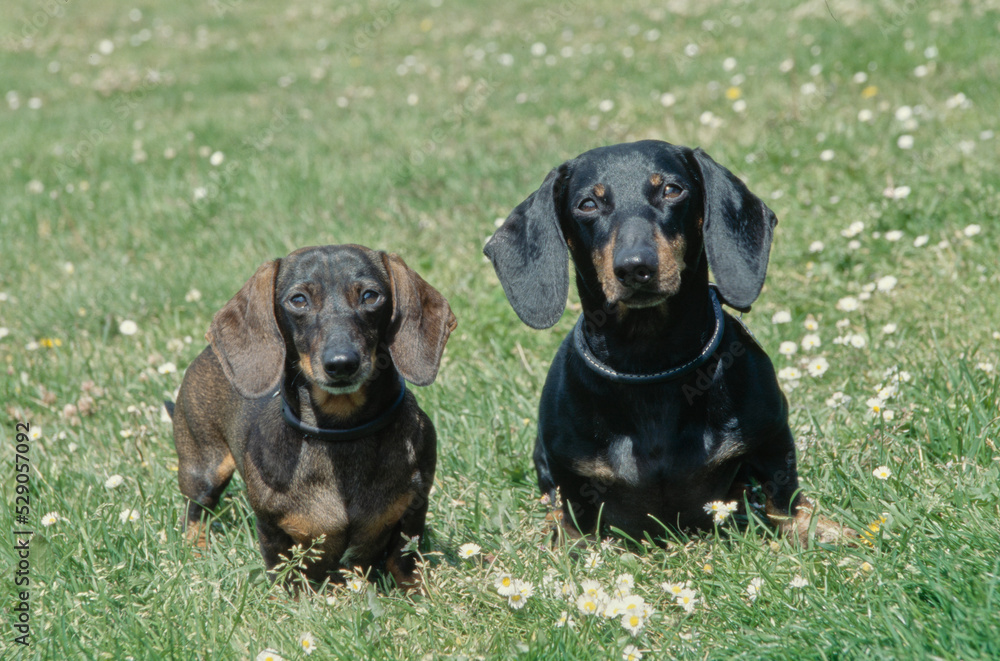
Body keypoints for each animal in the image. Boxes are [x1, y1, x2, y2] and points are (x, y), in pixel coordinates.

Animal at [167, 244, 458, 588]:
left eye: (370, 296)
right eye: (298, 299)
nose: (341, 363)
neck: (342, 433)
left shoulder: (412, 514)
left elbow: (404, 564)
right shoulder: (272, 531)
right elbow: (287, 577)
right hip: (202, 469)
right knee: (195, 514)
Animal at [488, 142, 848, 544]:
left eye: (672, 190)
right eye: (588, 204)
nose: (634, 267)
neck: (652, 367)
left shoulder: (773, 436)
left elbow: (783, 497)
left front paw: (814, 528)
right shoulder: (568, 471)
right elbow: (573, 519)